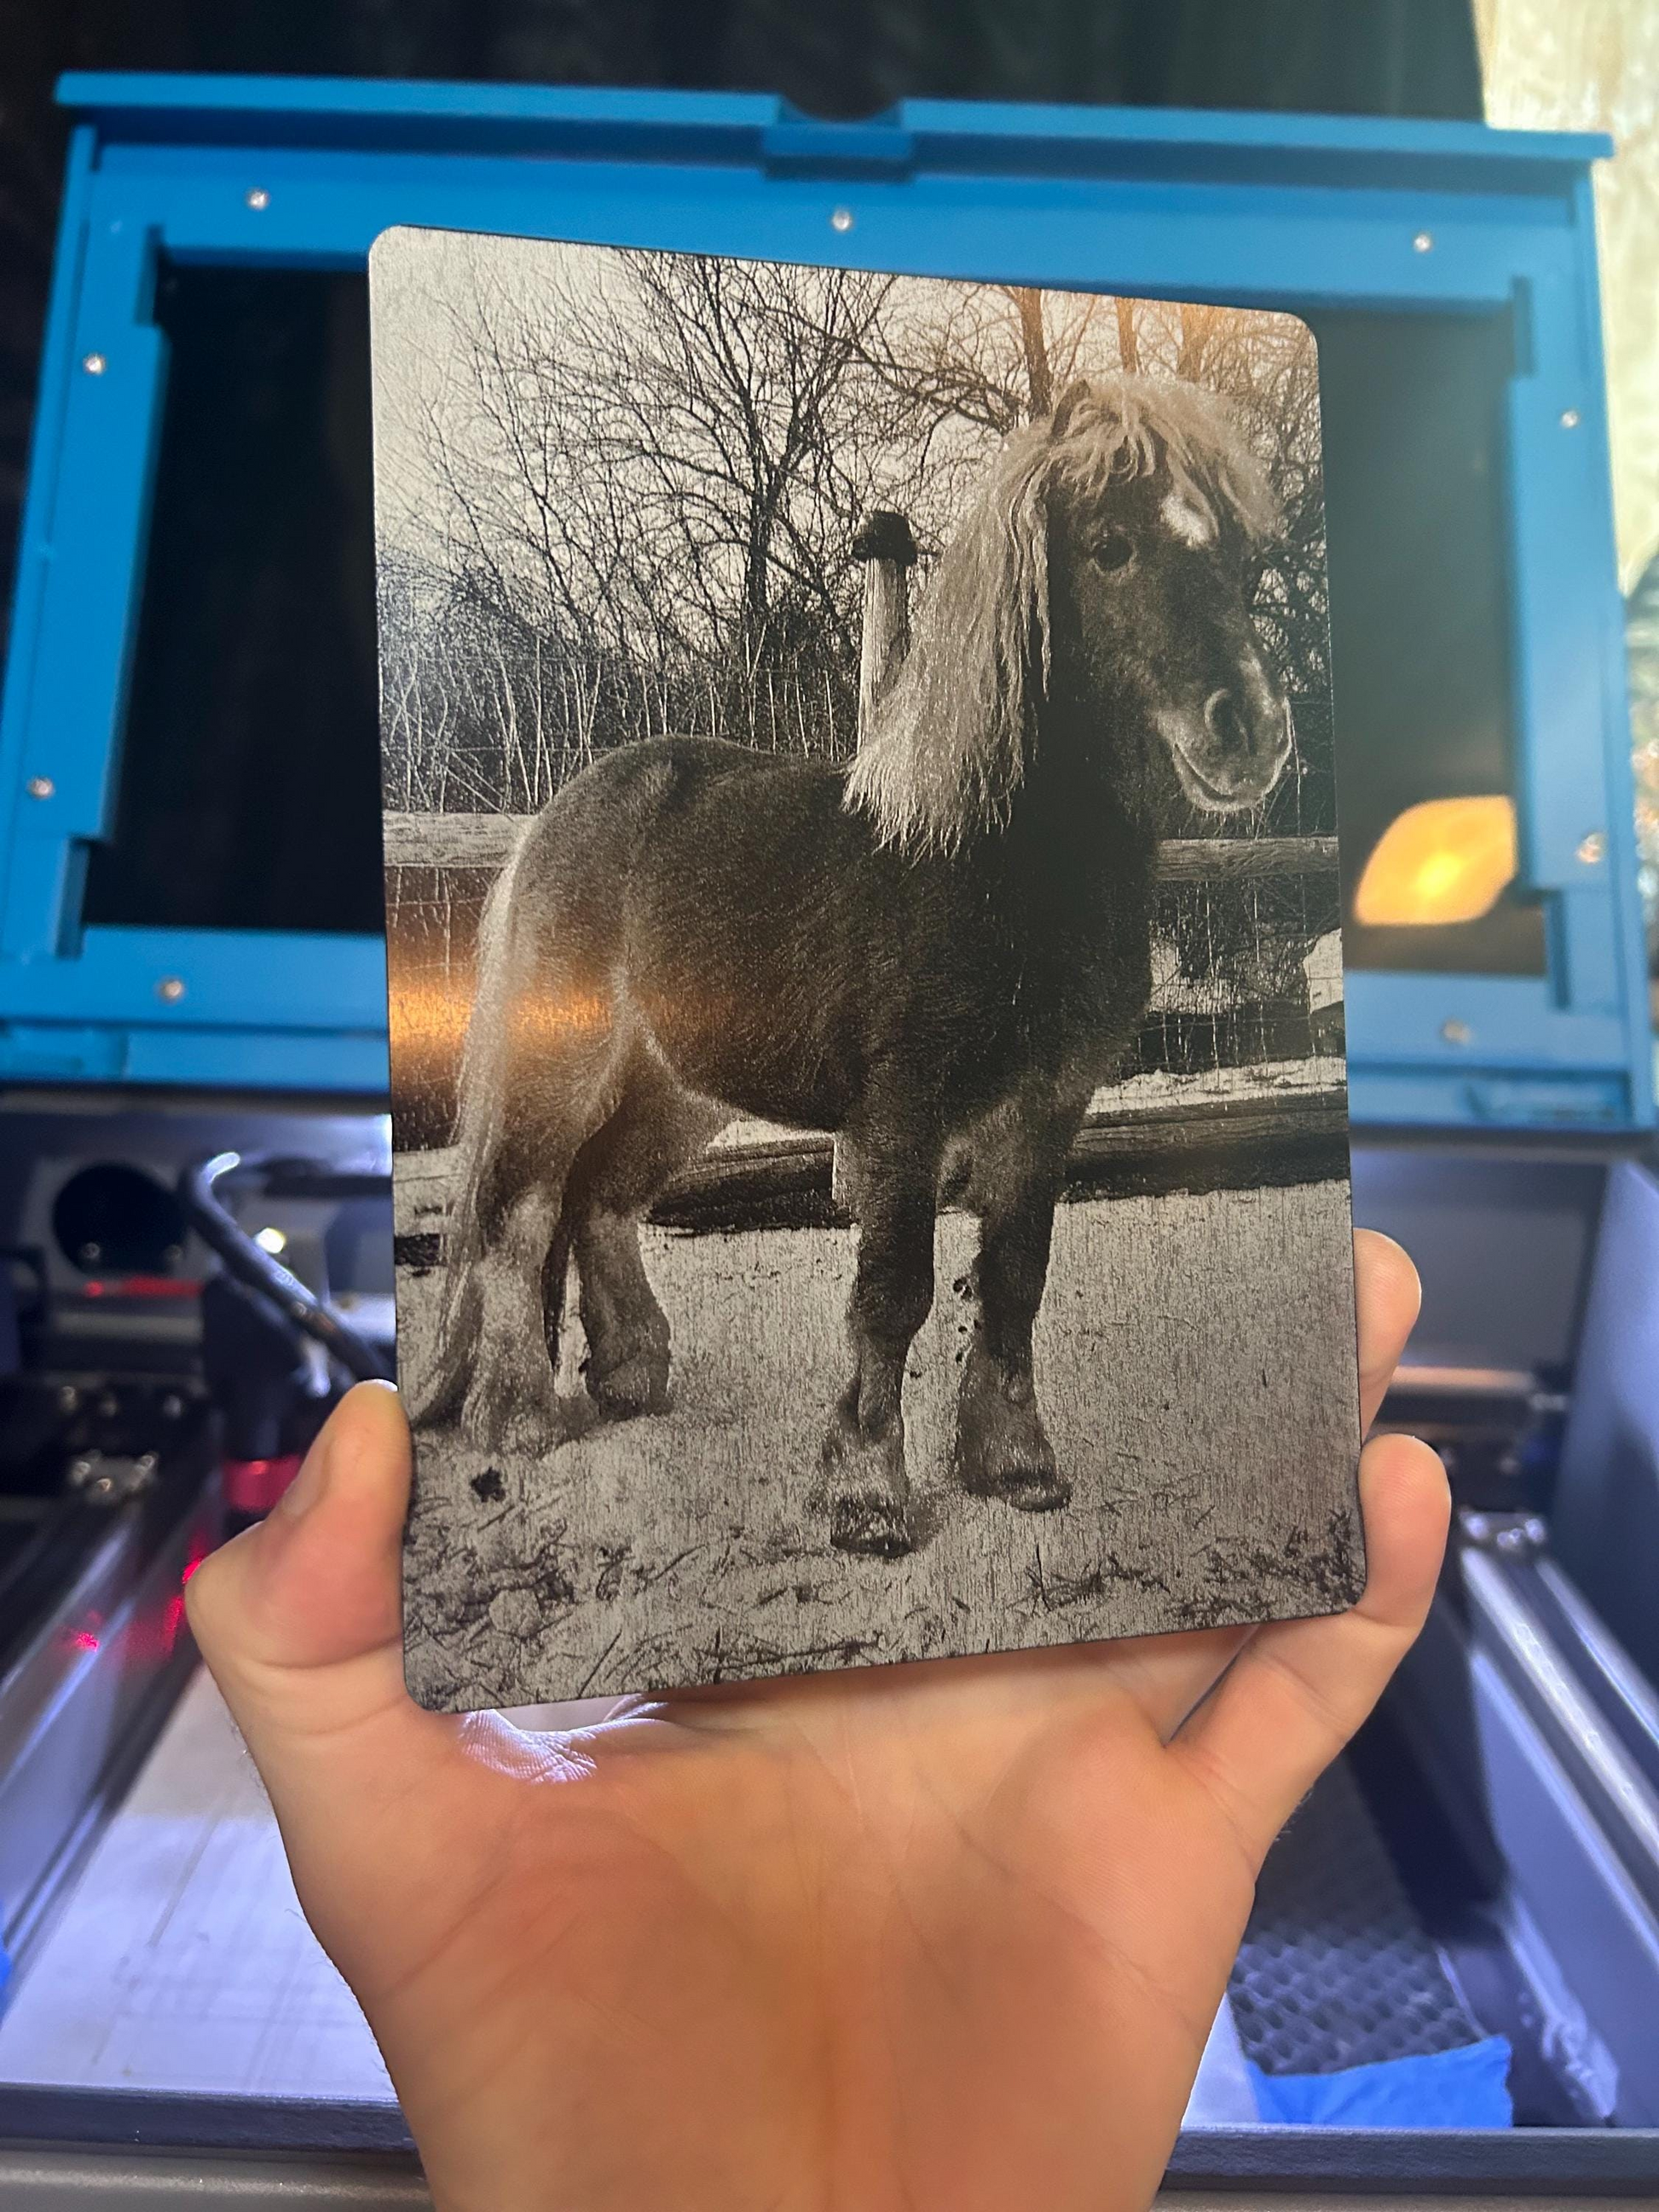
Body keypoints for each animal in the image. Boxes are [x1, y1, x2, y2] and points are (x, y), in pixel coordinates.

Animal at [408, 373, 1293, 1558]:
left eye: (1248, 565)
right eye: (1107, 546)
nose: (1248, 731)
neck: (987, 866)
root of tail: (563, 813)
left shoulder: (1045, 1110)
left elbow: (1015, 1278)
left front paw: (1014, 1466)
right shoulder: (900, 1117)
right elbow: (894, 1290)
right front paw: (866, 1494)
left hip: (682, 1088)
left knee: (600, 1197)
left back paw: (633, 1375)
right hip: (568, 1064)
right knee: (521, 1208)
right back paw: (516, 1419)